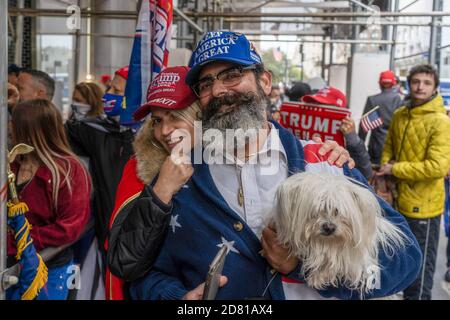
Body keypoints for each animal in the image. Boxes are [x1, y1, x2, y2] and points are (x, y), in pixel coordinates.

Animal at [268, 172, 408, 296]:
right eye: (316, 210)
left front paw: (319, 275)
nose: (329, 227)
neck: (325, 242)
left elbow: (341, 259)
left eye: (337, 211)